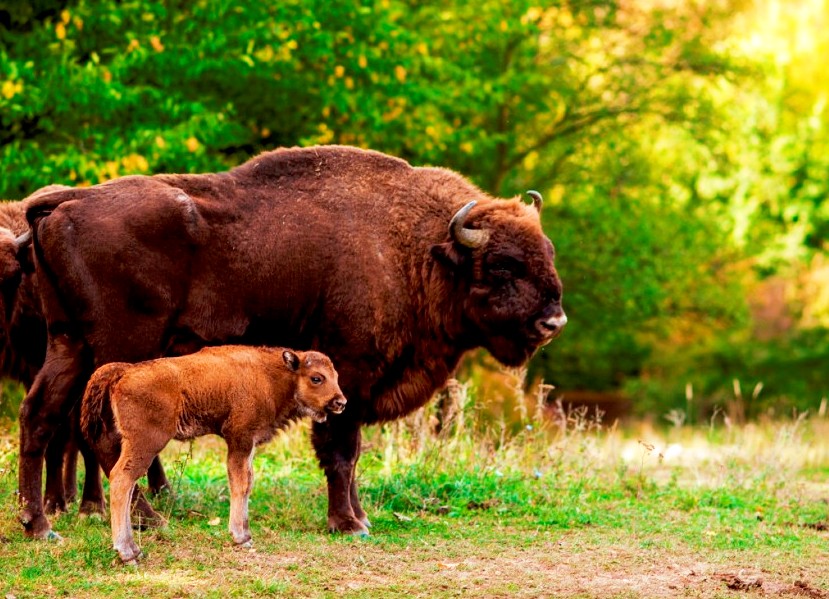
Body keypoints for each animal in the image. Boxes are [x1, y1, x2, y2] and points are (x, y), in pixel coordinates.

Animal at [19, 144, 568, 540]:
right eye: (502, 266)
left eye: (547, 250)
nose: (554, 321)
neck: (417, 248)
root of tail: (67, 201)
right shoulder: (350, 373)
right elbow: (341, 450)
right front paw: (347, 523)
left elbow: (351, 455)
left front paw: (360, 516)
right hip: (120, 350)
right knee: (106, 439)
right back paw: (144, 521)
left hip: (68, 343)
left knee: (39, 414)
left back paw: (39, 524)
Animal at [79, 346, 344, 568]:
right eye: (316, 378)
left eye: (336, 376)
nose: (340, 402)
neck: (271, 375)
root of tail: (125, 371)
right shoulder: (240, 439)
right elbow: (240, 483)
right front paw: (240, 537)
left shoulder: (248, 445)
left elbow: (247, 482)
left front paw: (245, 534)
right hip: (144, 444)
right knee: (122, 480)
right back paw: (128, 553)